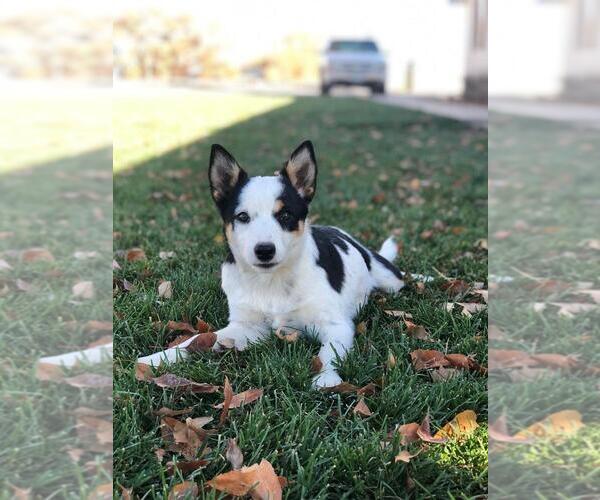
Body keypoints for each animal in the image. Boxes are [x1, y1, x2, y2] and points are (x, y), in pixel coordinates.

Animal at [139, 141, 406, 386]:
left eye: (285, 215)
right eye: (242, 216)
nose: (265, 250)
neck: (272, 281)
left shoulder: (336, 326)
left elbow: (329, 354)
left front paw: (326, 379)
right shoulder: (248, 327)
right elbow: (194, 340)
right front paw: (157, 358)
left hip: (390, 279)